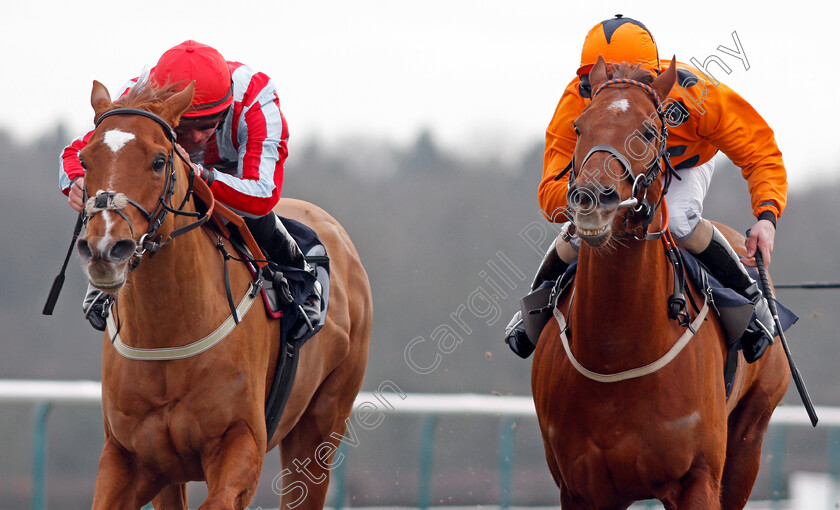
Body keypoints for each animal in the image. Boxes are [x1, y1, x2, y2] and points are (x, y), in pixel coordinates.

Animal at [75, 81, 370, 508]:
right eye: (84, 160)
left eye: (159, 161)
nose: (104, 249)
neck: (168, 332)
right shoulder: (128, 456)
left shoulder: (241, 442)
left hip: (322, 424)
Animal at [536, 56, 792, 510]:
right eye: (579, 127)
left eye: (648, 132)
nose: (590, 200)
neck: (616, 355)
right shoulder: (580, 488)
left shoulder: (698, 478)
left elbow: (756, 142)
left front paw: (765, 229)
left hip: (750, 435)